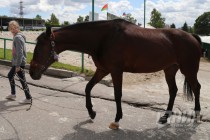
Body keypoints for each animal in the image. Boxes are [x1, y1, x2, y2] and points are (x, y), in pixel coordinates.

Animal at [29, 19, 202, 130]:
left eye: (40, 47)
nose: (31, 72)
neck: (104, 38)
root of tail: (192, 36)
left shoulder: (116, 71)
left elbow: (117, 94)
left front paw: (116, 121)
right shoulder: (103, 70)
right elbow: (88, 87)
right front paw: (92, 112)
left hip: (189, 69)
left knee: (196, 88)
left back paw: (198, 116)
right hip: (170, 70)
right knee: (173, 91)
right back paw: (165, 118)